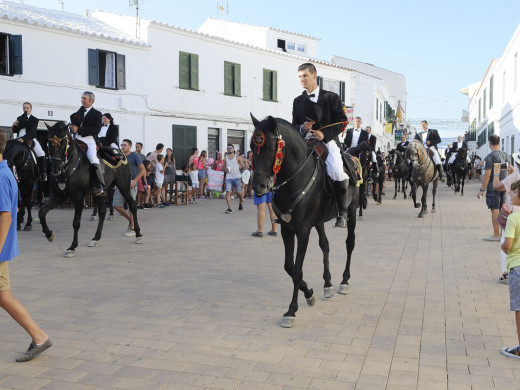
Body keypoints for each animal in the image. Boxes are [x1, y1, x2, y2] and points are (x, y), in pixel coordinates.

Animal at [39, 121, 142, 256]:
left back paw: (138, 234)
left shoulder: (78, 198)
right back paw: (95, 238)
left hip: (123, 186)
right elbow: (42, 212)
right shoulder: (58, 195)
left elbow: (76, 223)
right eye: (49, 142)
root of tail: (120, 153)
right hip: (99, 193)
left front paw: (72, 247)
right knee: (102, 212)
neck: (71, 166)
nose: (56, 168)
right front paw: (49, 234)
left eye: (63, 142)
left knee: (133, 205)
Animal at [251, 114, 358, 328]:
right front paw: (309, 293)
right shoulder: (287, 228)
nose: (258, 187)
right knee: (325, 245)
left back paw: (344, 281)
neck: (294, 178)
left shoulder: (303, 230)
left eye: (271, 147)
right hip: (319, 221)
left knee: (349, 243)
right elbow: (289, 266)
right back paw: (328, 284)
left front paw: (291, 310)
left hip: (351, 211)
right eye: (252, 146)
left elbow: (297, 270)